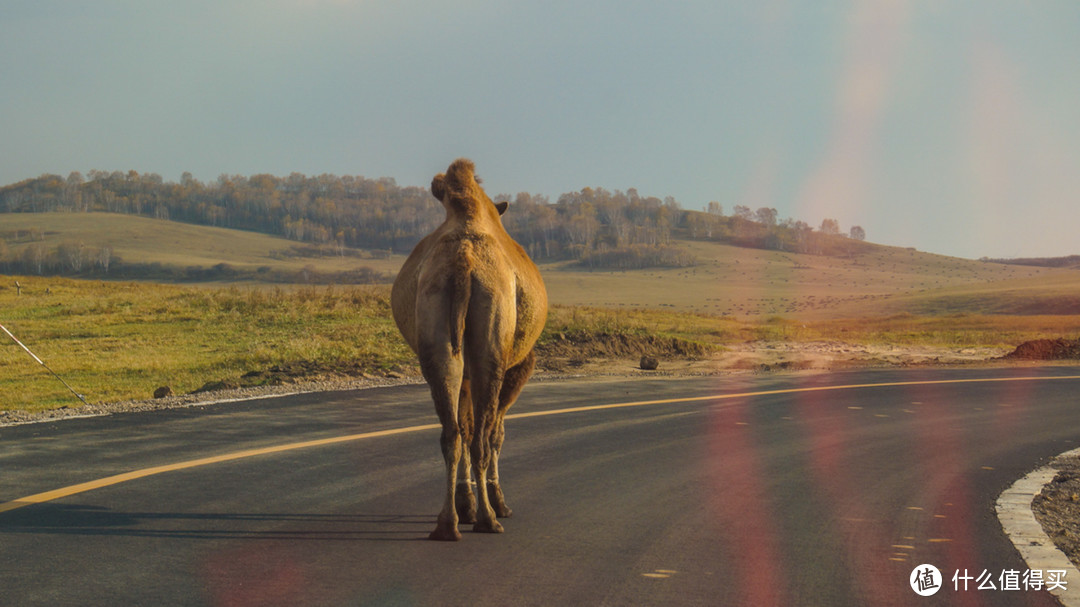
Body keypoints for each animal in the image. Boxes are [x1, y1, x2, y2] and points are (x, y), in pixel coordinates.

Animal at [393, 156, 548, 537]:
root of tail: (464, 260)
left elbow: (464, 424)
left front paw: (467, 504)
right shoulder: (518, 365)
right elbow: (495, 433)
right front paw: (497, 503)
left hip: (437, 334)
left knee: (452, 433)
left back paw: (448, 523)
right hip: (491, 350)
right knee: (482, 435)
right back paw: (489, 518)